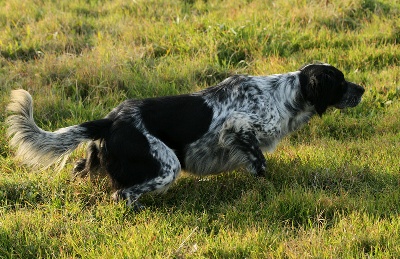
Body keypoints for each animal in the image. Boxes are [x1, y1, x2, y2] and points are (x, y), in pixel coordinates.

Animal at [5, 63, 366, 209]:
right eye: (340, 81)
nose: (363, 90)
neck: (283, 95)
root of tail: (108, 121)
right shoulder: (238, 126)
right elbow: (259, 161)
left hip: (98, 160)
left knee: (83, 172)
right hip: (166, 166)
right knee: (122, 194)